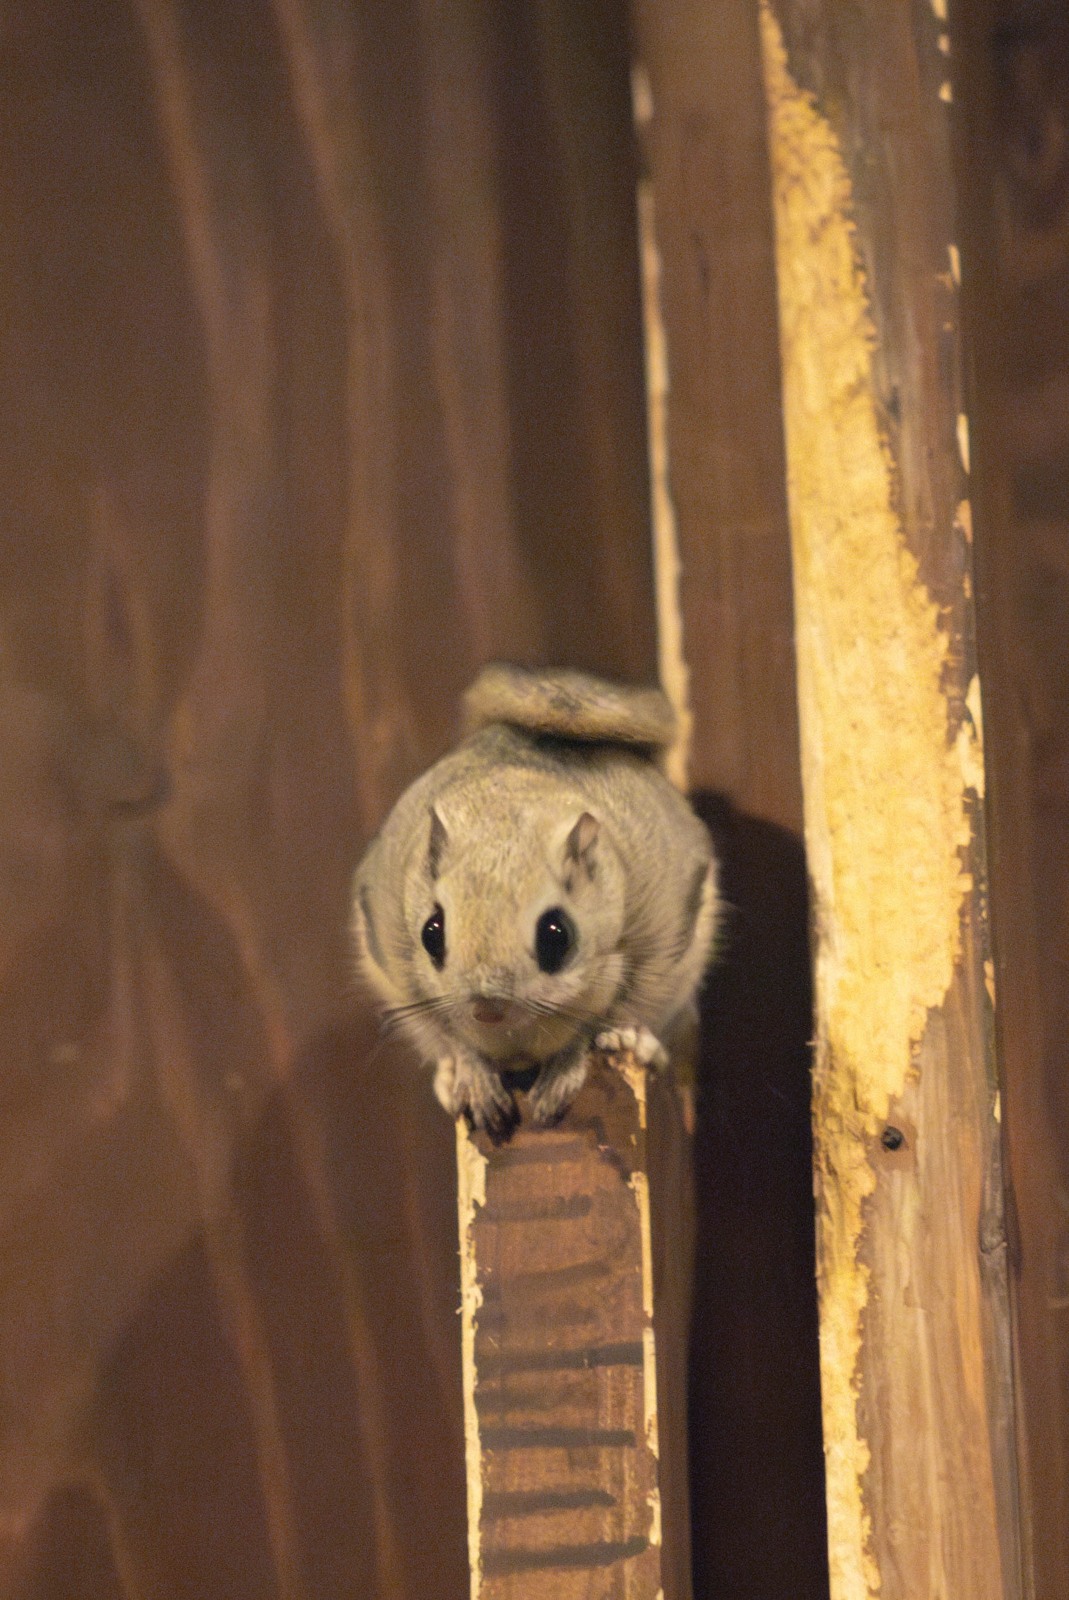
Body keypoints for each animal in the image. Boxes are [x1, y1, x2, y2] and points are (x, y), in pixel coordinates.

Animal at [351, 664, 720, 1136]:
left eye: (556, 936)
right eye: (430, 934)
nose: (487, 1007)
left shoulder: (659, 942)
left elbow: (593, 1026)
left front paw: (564, 1072)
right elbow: (454, 1037)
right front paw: (473, 1075)